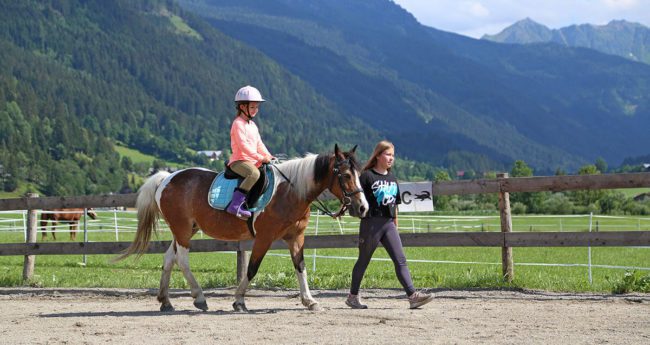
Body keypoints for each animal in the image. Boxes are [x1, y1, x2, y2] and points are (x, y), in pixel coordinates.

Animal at [116, 145, 368, 312]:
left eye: (358, 174)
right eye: (346, 175)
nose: (363, 207)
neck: (290, 192)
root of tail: (167, 178)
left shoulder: (296, 238)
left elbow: (301, 268)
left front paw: (309, 300)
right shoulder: (264, 238)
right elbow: (252, 269)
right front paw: (239, 301)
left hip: (184, 230)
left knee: (169, 258)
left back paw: (166, 301)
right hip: (183, 230)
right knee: (182, 260)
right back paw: (199, 298)